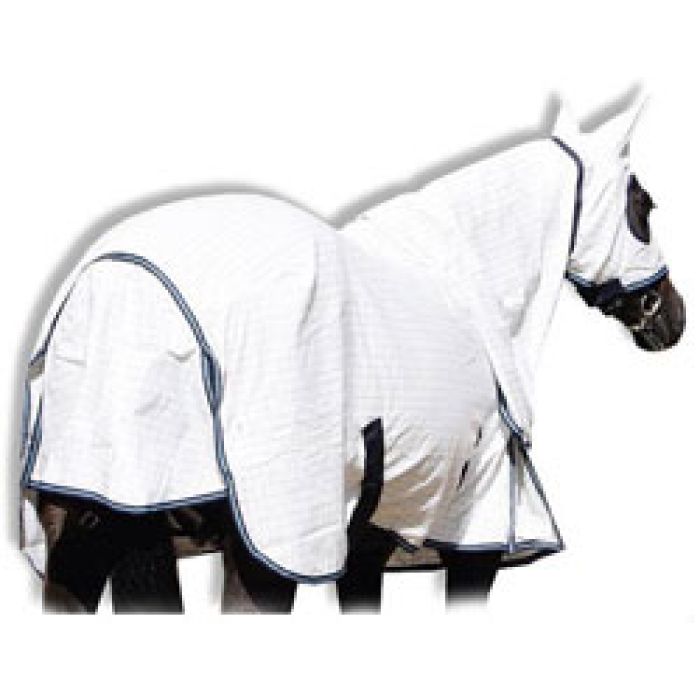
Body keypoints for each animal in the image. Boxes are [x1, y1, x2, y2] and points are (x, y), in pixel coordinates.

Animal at [19, 94, 685, 613]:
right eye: (644, 206)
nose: (673, 319)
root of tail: (125, 290)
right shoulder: (479, 530)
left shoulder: (371, 540)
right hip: (270, 544)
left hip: (98, 521)